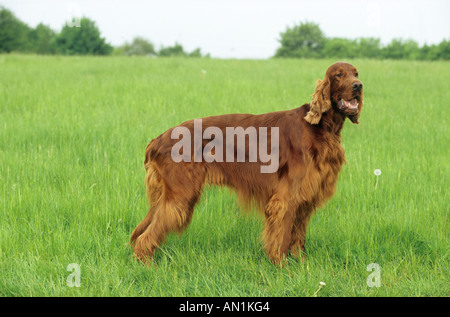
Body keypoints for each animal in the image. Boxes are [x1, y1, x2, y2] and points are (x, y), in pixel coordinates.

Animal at [129, 61, 362, 264]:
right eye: (339, 74)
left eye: (356, 73)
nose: (358, 86)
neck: (321, 127)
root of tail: (158, 139)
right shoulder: (287, 198)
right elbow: (283, 237)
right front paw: (282, 267)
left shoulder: (305, 197)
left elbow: (298, 237)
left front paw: (302, 265)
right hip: (180, 197)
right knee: (144, 239)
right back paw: (148, 268)